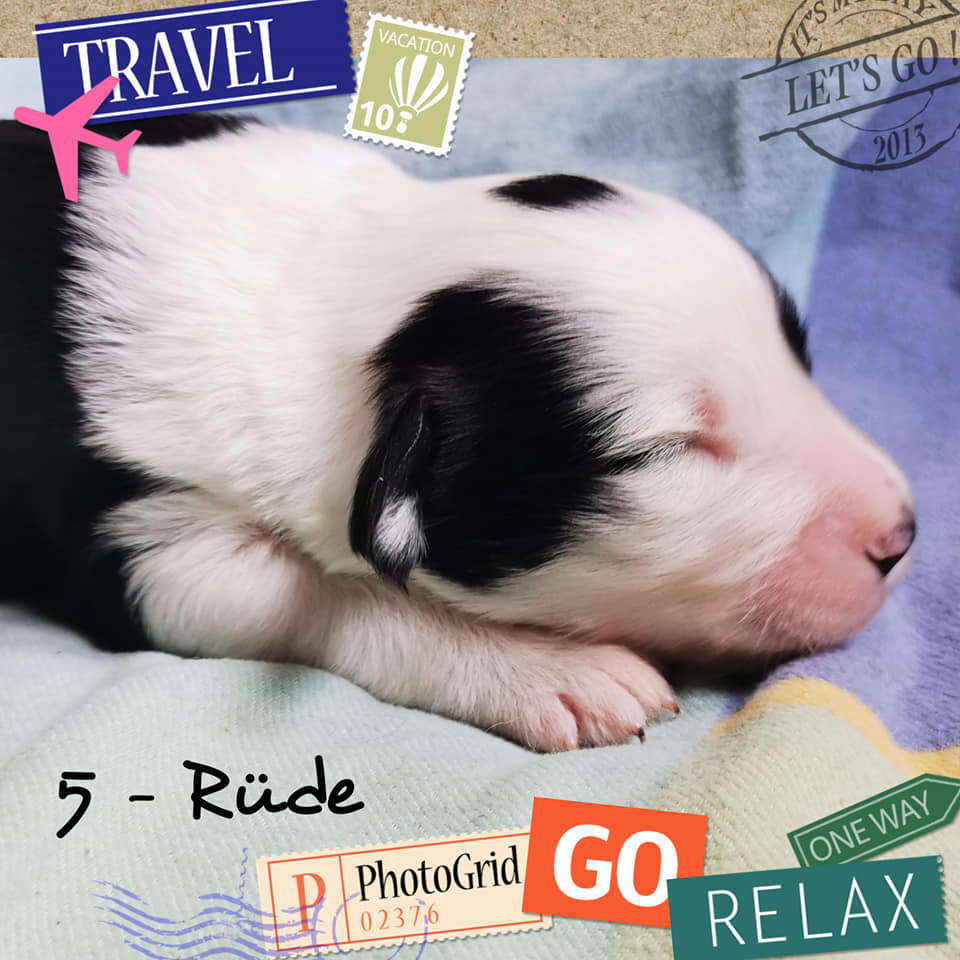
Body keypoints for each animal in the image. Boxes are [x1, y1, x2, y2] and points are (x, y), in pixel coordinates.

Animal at [0, 114, 915, 751]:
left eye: (797, 355)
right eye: (666, 452)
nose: (902, 533)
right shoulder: (142, 534)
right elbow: (330, 592)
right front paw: (553, 667)